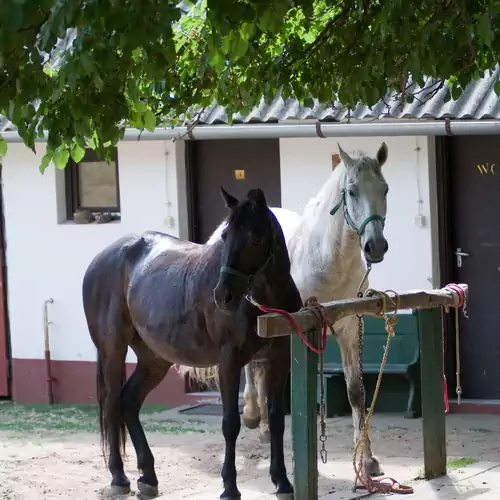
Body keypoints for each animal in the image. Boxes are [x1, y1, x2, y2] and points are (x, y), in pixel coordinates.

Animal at [82, 186, 302, 498]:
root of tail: (101, 259)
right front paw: (229, 487)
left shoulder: (279, 360)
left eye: (256, 238)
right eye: (225, 236)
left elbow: (276, 420)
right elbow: (230, 424)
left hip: (154, 360)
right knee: (112, 403)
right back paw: (119, 478)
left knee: (128, 402)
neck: (263, 302)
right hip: (113, 351)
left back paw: (148, 477)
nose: (223, 296)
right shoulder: (229, 362)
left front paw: (282, 482)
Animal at [203, 142, 390, 476]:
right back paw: (253, 415)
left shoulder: (348, 330)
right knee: (253, 369)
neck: (328, 259)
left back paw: (264, 427)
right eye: (352, 191)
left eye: (385, 189)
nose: (375, 246)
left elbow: (356, 392)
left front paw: (368, 460)